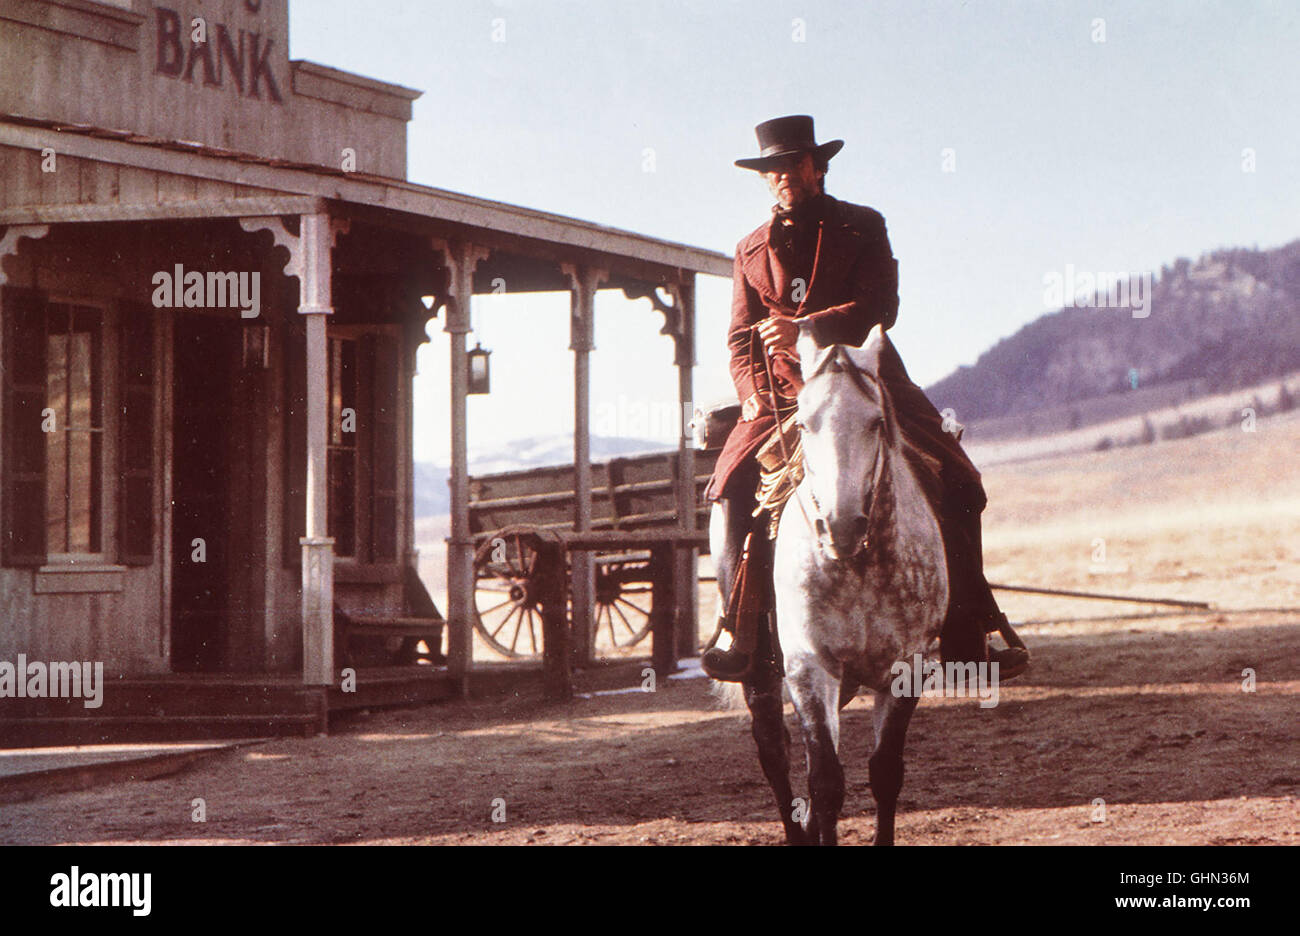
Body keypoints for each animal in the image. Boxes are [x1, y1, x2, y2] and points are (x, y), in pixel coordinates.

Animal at [717, 323, 951, 847]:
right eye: (804, 426)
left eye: (876, 423)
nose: (840, 528)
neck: (859, 566)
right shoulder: (809, 665)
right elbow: (825, 781)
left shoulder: (908, 666)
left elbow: (884, 772)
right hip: (763, 675)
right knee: (776, 753)